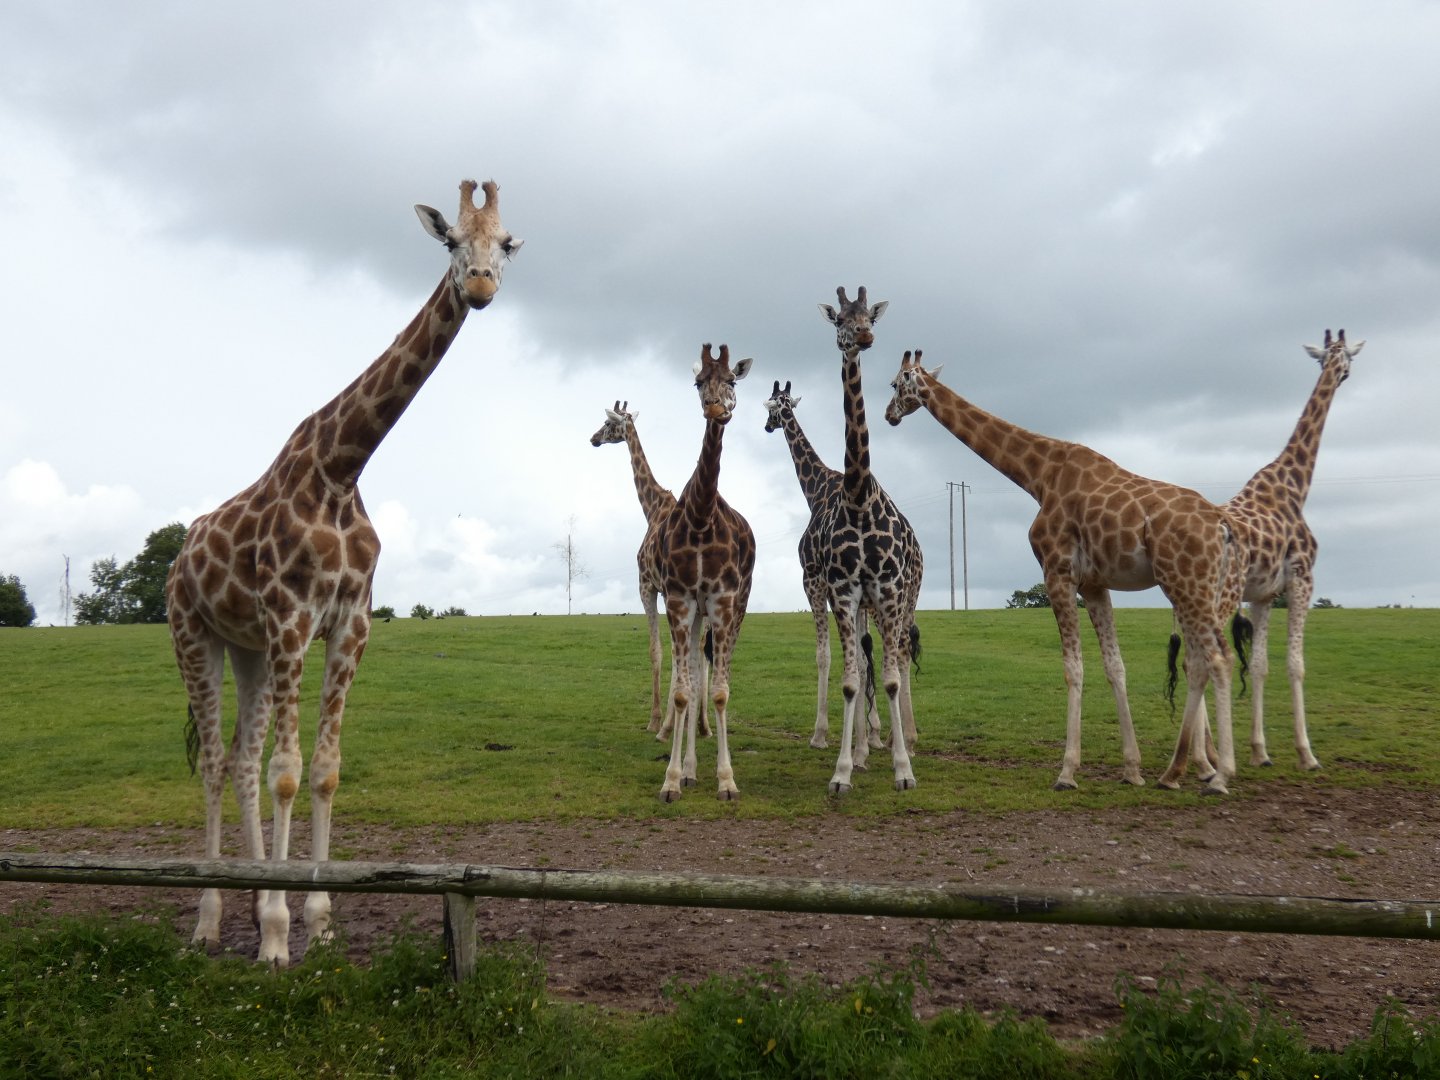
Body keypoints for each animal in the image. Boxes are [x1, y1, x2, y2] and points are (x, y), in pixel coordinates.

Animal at [165, 179, 521, 965]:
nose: (481, 286)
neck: (340, 468)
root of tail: (176, 560)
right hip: (194, 635)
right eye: (453, 241)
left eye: (507, 245)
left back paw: (244, 904)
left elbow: (323, 771)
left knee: (238, 760)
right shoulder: (293, 620)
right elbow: (288, 773)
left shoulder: (350, 625)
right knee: (214, 762)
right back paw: (209, 921)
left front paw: (319, 924)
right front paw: (275, 939)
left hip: (248, 648)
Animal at [589, 402, 710, 740]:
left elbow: (656, 651)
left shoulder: (647, 586)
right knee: (702, 652)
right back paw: (703, 723)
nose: (593, 438)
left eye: (607, 423)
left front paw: (656, 720)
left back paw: (672, 724)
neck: (651, 507)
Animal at [761, 379, 884, 752]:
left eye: (770, 407)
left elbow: (824, 655)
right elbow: (858, 660)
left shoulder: (812, 580)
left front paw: (820, 734)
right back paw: (880, 737)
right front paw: (865, 736)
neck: (813, 490)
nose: (768, 426)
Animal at [885, 348, 1245, 794]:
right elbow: (1115, 667)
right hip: (1197, 587)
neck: (1039, 477)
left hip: (1186, 582)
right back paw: (1184, 769)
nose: (888, 415)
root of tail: (1223, 526)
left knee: (1216, 657)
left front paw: (1067, 771)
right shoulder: (1094, 584)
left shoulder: (1057, 572)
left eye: (895, 384)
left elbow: (1073, 668)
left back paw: (1217, 772)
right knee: (1203, 659)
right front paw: (1132, 768)